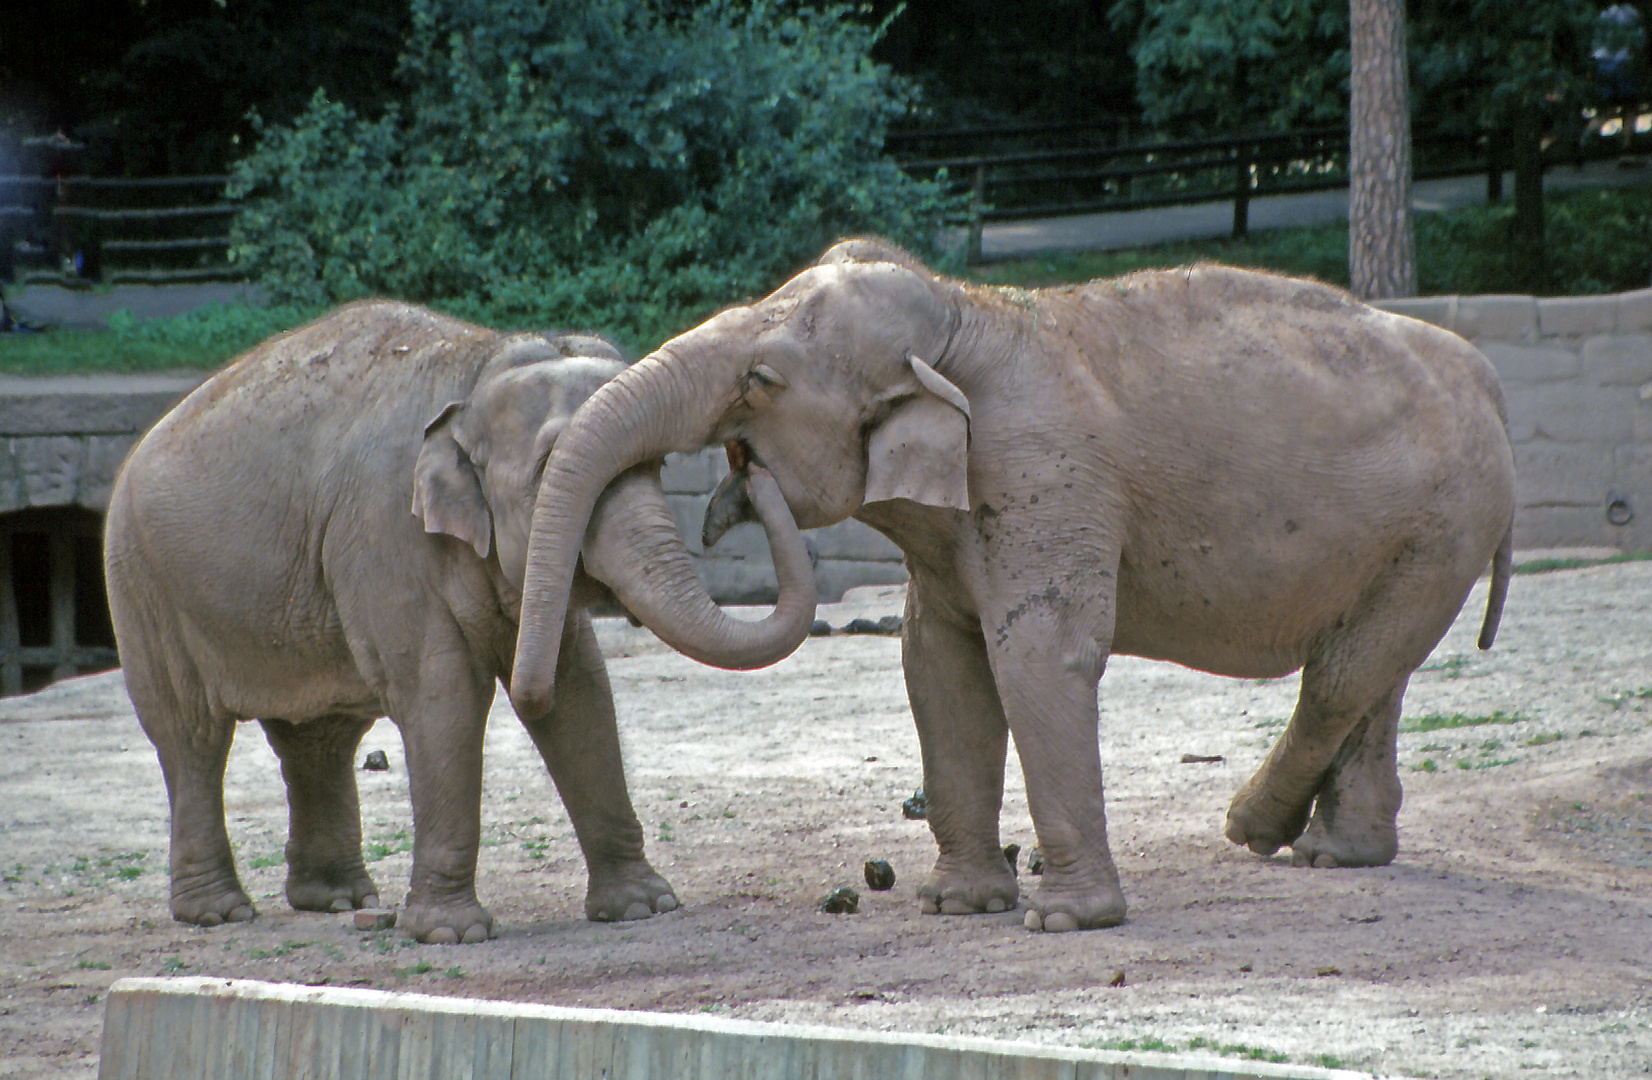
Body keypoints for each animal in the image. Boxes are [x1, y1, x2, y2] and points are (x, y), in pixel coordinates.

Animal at [106, 300, 816, 944]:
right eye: (549, 468)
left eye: (656, 467)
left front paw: (644, 907)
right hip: (143, 584)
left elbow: (581, 690)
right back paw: (218, 913)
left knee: (319, 736)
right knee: (192, 734)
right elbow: (442, 697)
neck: (481, 370)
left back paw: (338, 900)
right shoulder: (387, 537)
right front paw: (450, 933)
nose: (748, 466)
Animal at [508, 241, 1513, 937]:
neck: (965, 316)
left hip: (1446, 522)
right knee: (1370, 673)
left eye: (761, 379)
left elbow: (1037, 653)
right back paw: (1339, 854)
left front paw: (1064, 922)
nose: (741, 482)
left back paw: (1254, 830)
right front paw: (958, 906)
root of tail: (1485, 372)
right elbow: (937, 664)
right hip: (1423, 535)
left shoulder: (1044, 472)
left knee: (1343, 676)